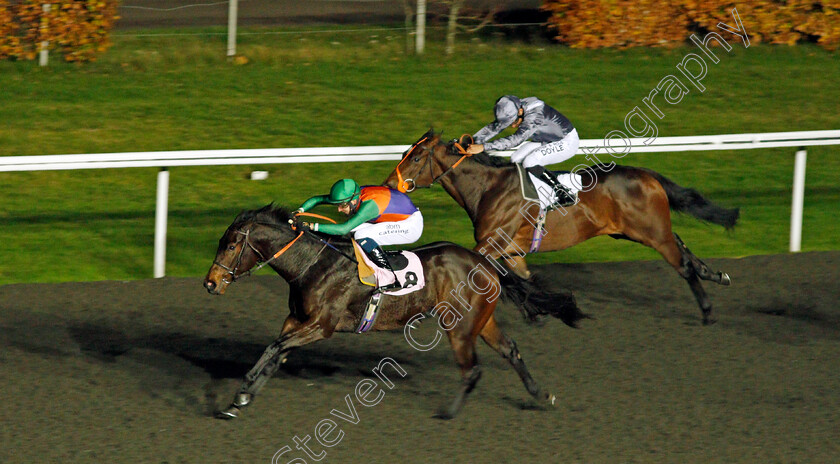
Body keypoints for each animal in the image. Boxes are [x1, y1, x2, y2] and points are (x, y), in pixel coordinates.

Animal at [204, 205, 588, 418]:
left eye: (232, 245)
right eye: (221, 242)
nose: (210, 283)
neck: (313, 264)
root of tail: (483, 261)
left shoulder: (320, 326)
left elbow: (275, 348)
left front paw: (242, 391)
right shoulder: (296, 320)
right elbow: (275, 352)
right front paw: (239, 400)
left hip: (459, 324)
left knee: (473, 369)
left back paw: (448, 413)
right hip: (482, 319)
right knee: (510, 350)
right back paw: (542, 395)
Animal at [384, 130, 740, 324]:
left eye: (416, 157)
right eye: (405, 152)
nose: (389, 184)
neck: (488, 188)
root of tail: (647, 175)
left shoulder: (490, 244)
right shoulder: (512, 252)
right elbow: (524, 280)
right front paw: (545, 309)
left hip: (651, 232)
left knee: (681, 264)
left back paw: (707, 310)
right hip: (636, 230)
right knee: (680, 242)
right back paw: (716, 274)